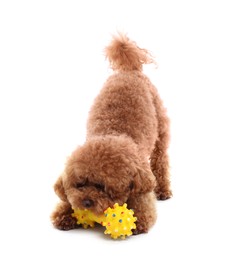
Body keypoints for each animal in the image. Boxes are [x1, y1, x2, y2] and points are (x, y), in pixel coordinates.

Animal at [51, 32, 172, 234]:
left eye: (102, 187)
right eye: (80, 184)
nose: (86, 202)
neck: (111, 134)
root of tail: (129, 70)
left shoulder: (142, 184)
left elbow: (143, 210)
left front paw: (136, 220)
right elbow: (65, 203)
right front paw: (64, 215)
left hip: (161, 130)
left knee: (160, 159)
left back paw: (163, 189)